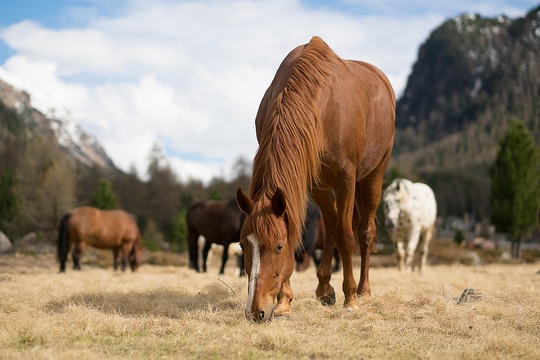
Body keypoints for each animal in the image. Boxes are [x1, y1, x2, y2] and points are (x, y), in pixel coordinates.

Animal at [238, 36, 394, 322]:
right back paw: (324, 288)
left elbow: (346, 236)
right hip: (323, 186)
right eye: (243, 245)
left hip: (372, 177)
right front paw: (285, 301)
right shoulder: (308, 181)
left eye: (278, 247)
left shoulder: (346, 179)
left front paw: (350, 298)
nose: (256, 311)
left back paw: (363, 290)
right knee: (331, 222)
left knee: (364, 232)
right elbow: (300, 226)